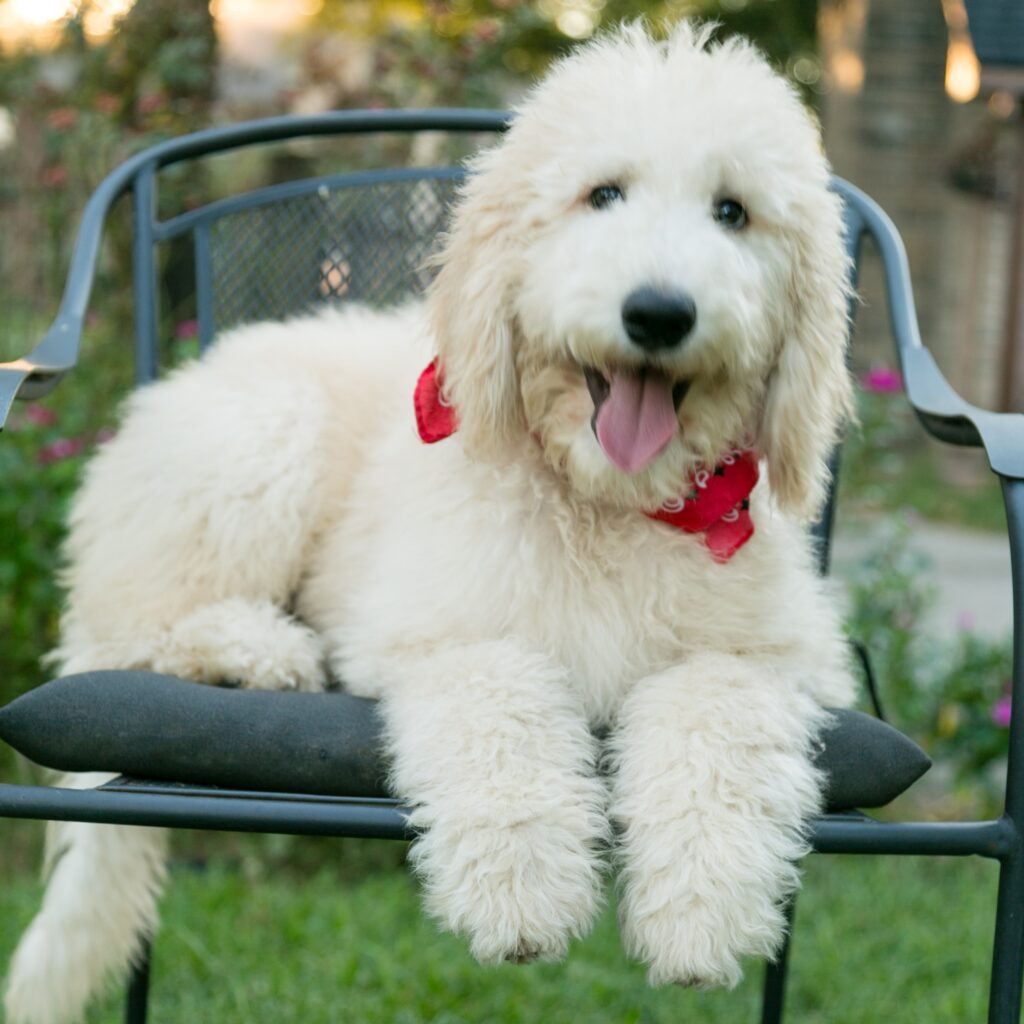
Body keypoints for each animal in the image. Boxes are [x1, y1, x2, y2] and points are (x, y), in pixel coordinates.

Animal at [6, 24, 856, 1024]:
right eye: (602, 193)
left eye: (733, 212)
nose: (658, 311)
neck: (609, 502)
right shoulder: (436, 628)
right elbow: (499, 704)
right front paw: (523, 893)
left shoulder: (775, 657)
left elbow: (717, 716)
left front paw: (700, 913)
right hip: (259, 444)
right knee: (138, 631)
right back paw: (256, 652)